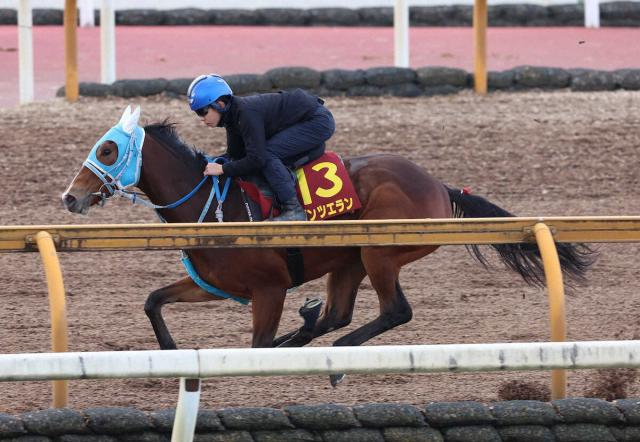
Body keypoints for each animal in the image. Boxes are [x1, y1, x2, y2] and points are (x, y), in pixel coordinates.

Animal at [62, 107, 592, 384]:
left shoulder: (269, 288)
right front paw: (172, 354)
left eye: (107, 149)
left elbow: (257, 346)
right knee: (340, 313)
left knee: (394, 312)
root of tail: (440, 186)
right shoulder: (215, 284)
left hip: (378, 251)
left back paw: (337, 357)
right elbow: (154, 301)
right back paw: (319, 333)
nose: (71, 197)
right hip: (351, 259)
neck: (211, 204)